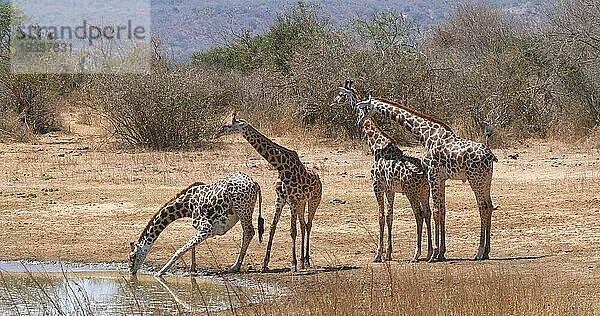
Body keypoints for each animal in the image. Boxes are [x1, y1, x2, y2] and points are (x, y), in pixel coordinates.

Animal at [129, 172, 262, 278]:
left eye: (132, 255)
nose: (131, 271)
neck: (187, 206)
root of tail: (255, 184)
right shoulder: (203, 228)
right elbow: (192, 245)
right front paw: (193, 268)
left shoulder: (206, 228)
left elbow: (180, 250)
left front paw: (160, 272)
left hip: (242, 210)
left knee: (249, 232)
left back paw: (235, 267)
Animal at [217, 113, 324, 272]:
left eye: (229, 125)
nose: (218, 132)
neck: (281, 166)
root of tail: (318, 178)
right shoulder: (280, 199)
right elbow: (272, 228)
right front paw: (264, 263)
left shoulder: (292, 200)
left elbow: (292, 231)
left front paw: (293, 264)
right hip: (302, 203)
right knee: (303, 225)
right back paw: (303, 261)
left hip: (313, 201)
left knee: (309, 225)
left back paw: (306, 260)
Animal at [332, 80, 432, 262]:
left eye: (341, 94)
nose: (333, 101)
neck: (376, 146)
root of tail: (423, 174)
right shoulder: (389, 189)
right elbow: (389, 216)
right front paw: (389, 253)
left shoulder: (377, 185)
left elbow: (380, 216)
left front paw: (378, 254)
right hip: (424, 192)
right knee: (428, 214)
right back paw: (429, 252)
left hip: (411, 192)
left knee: (419, 215)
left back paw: (416, 254)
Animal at [354, 92, 500, 262]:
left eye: (364, 107)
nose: (359, 121)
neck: (425, 135)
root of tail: (490, 155)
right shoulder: (441, 179)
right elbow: (442, 210)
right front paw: (441, 252)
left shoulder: (432, 174)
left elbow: (436, 211)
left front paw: (434, 253)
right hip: (486, 180)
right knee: (489, 206)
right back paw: (486, 251)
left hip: (475, 180)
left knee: (482, 207)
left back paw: (479, 251)